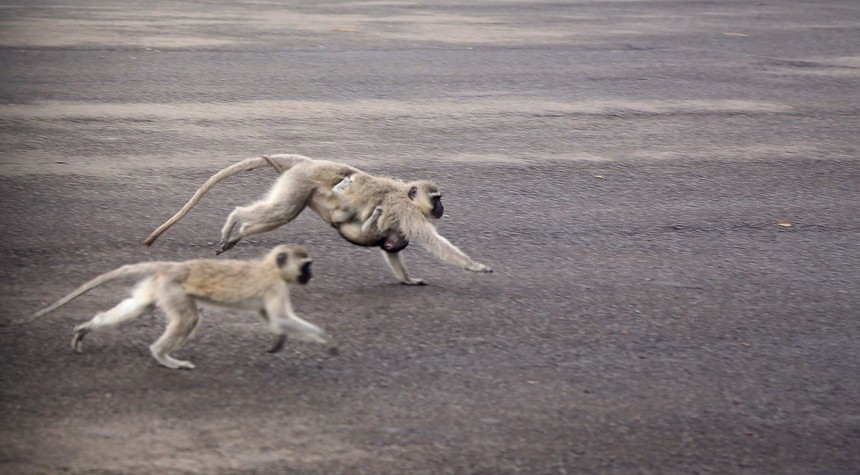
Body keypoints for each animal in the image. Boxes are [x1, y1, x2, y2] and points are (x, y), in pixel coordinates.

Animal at [16, 244, 336, 369]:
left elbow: (273, 320)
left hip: (158, 286)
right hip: (172, 289)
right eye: (306, 266)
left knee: (139, 306)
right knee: (188, 318)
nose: (310, 276)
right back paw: (163, 356)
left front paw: (278, 340)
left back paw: (89, 327)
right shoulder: (275, 286)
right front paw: (326, 340)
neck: (270, 267)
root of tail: (171, 266)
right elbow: (281, 318)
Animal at [143, 154, 492, 285]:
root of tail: (309, 163)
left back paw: (236, 234)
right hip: (300, 183)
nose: (441, 208)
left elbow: (391, 248)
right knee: (276, 211)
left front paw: (407, 279)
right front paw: (475, 266)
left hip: (301, 187)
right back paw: (235, 221)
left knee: (281, 214)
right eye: (437, 198)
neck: (404, 194)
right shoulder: (405, 211)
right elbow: (432, 240)